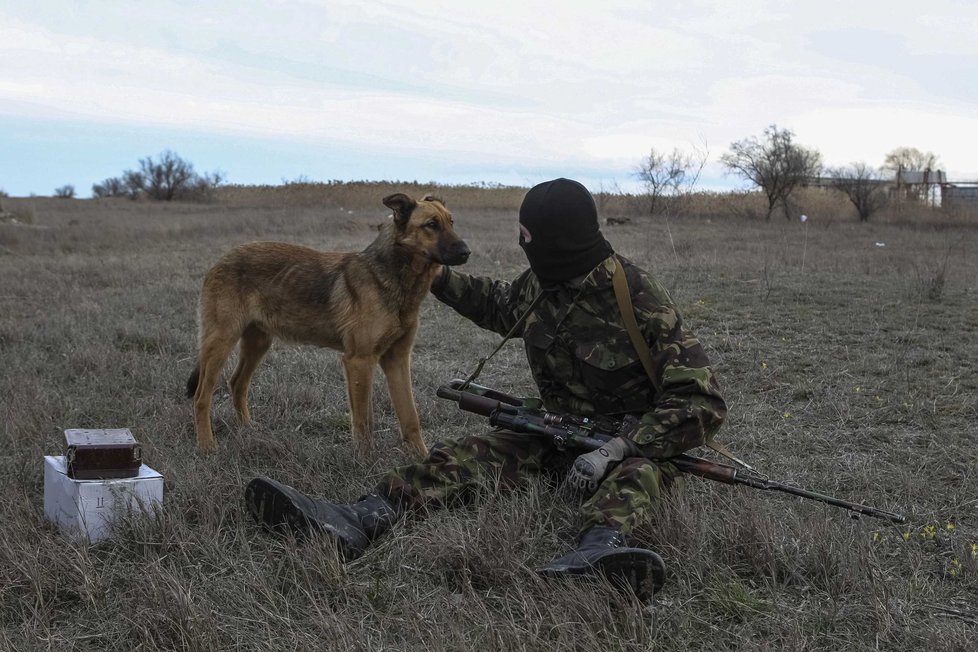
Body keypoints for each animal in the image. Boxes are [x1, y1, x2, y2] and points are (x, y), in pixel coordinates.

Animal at [188, 194, 472, 456]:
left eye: (451, 222)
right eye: (431, 225)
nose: (466, 252)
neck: (396, 278)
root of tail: (221, 260)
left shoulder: (397, 360)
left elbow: (410, 418)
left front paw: (422, 459)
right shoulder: (359, 361)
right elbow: (363, 421)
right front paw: (364, 462)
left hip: (257, 343)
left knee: (237, 384)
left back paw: (247, 428)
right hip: (221, 342)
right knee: (201, 396)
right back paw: (206, 445)